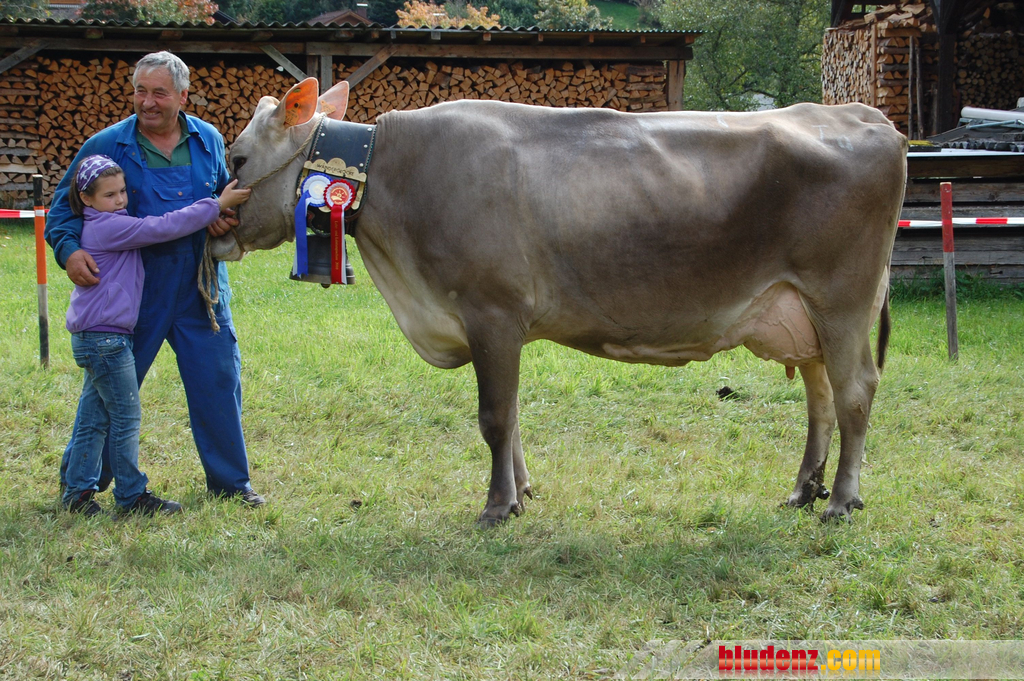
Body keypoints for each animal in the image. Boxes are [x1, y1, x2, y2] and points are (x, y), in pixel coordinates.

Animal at [213, 78, 907, 526]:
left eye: (238, 158)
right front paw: (523, 492)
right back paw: (804, 490)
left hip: (841, 301)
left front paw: (498, 507)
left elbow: (495, 417)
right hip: (801, 313)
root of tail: (864, 117)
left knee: (854, 393)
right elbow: (514, 415)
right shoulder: (499, 326)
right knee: (820, 397)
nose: (214, 225)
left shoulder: (491, 310)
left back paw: (841, 501)